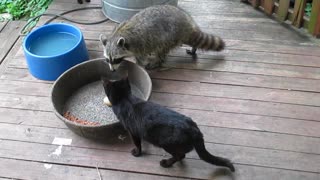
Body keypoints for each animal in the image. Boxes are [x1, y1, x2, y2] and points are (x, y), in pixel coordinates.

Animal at [102, 76, 235, 172]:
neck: (125, 98)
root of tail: (194, 130)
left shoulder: (132, 131)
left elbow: (137, 144)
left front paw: (136, 153)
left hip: (167, 143)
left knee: (181, 155)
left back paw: (166, 163)